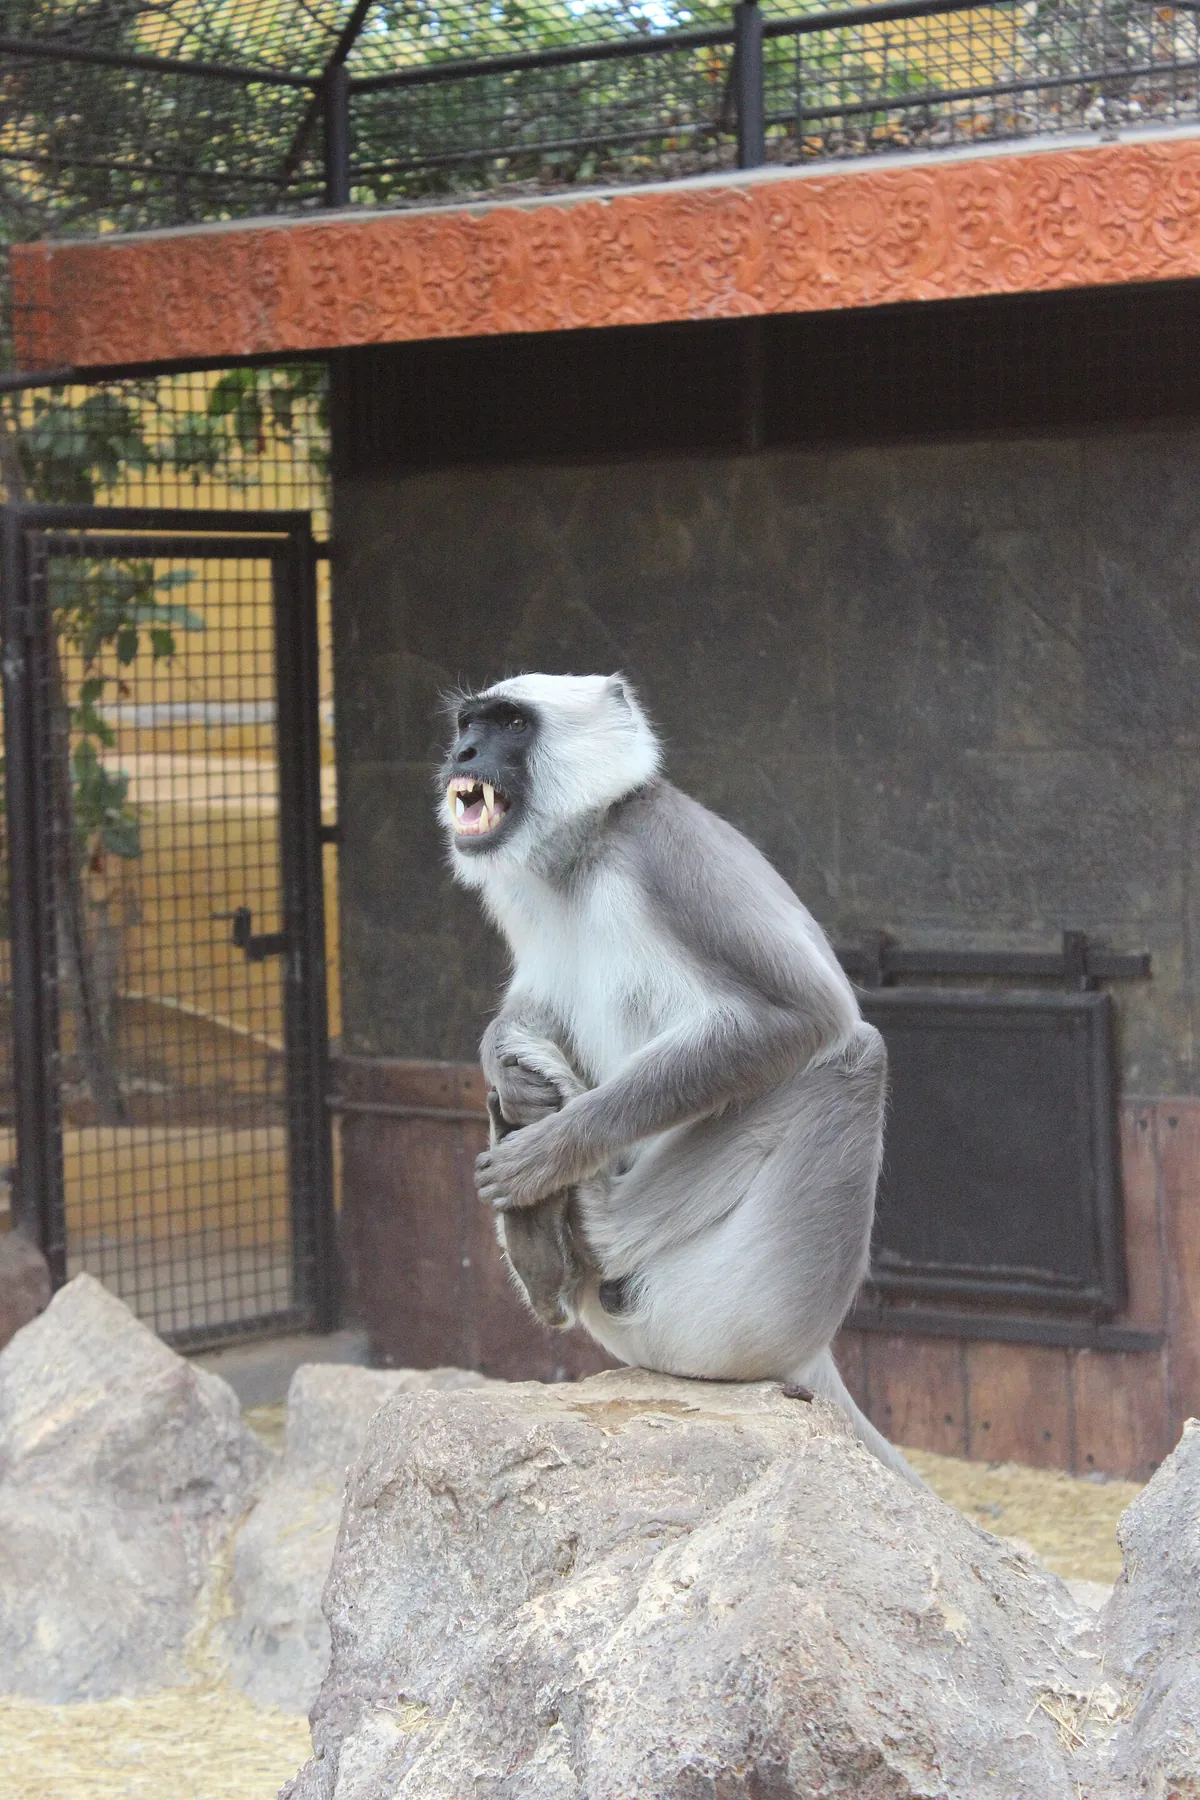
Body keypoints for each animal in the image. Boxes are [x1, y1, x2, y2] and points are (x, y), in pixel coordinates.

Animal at [437, 672, 918, 1485]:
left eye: (510, 724)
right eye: (470, 724)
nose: (463, 754)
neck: (584, 858)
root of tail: (809, 1357)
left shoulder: (662, 851)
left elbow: (805, 1013)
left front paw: (551, 1153)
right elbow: (530, 1004)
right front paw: (507, 1067)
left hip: (738, 1309)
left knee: (852, 1056)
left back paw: (590, 1214)